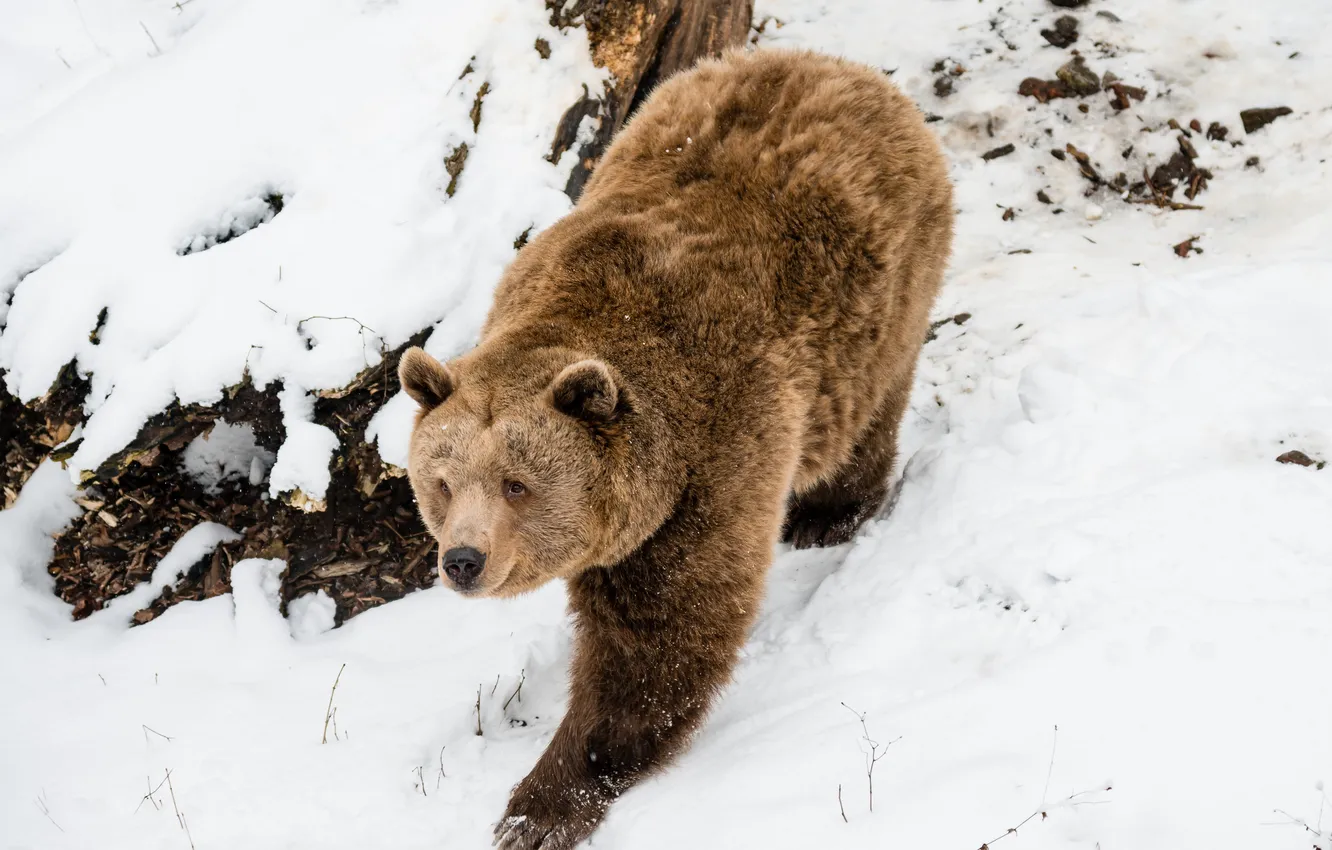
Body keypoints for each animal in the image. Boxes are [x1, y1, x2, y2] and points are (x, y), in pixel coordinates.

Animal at [397, 48, 953, 849]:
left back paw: (829, 514)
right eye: (442, 483)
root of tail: (843, 67)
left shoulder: (712, 462)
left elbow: (660, 641)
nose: (464, 560)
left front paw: (539, 805)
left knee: (866, 415)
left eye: (516, 484)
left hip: (883, 308)